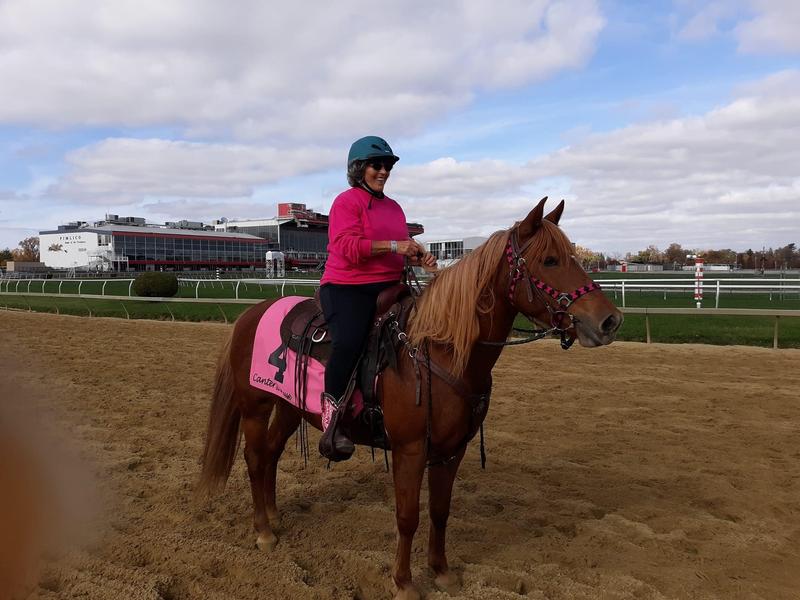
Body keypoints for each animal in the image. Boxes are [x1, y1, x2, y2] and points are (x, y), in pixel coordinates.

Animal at [197, 199, 620, 596]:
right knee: (255, 458)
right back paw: (263, 532)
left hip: (290, 408)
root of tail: (252, 313)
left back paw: (273, 517)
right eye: (550, 260)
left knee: (270, 454)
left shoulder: (451, 451)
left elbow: (440, 511)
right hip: (255, 407)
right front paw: (404, 583)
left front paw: (442, 573)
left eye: (573, 255)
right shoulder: (410, 450)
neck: (440, 349)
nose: (609, 320)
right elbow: (407, 516)